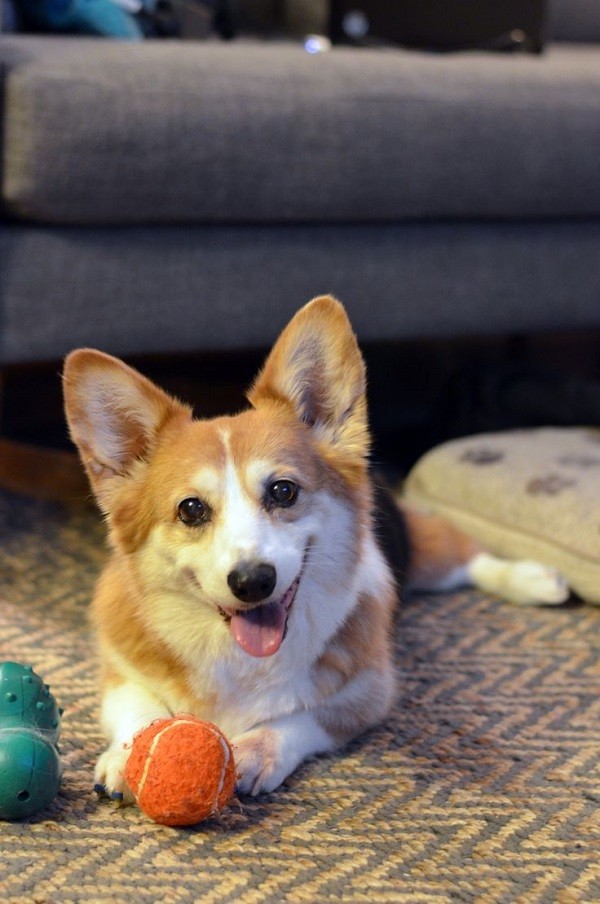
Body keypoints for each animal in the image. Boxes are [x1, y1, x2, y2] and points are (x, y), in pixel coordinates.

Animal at [63, 294, 568, 800]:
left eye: (283, 491)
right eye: (191, 509)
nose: (253, 581)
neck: (238, 653)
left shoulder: (368, 692)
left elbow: (300, 717)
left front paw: (254, 750)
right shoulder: (119, 673)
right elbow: (138, 705)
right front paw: (130, 753)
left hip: (423, 550)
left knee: (465, 555)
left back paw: (536, 580)